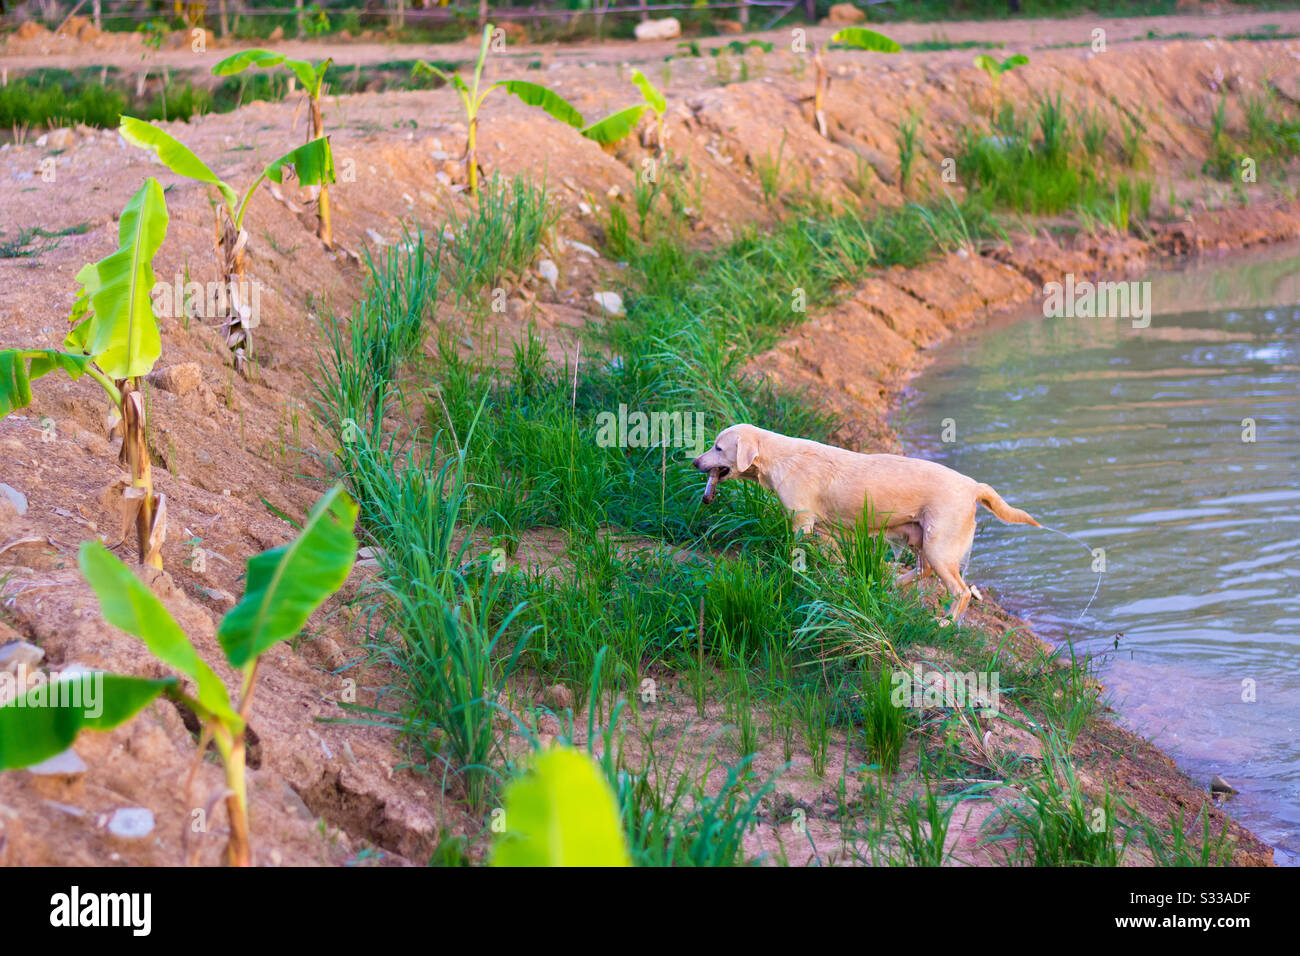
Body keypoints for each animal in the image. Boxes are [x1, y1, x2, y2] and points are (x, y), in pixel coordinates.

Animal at [696, 424, 1040, 621]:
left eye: (717, 447)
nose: (695, 461)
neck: (778, 456)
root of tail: (973, 486)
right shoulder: (826, 530)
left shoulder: (801, 521)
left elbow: (796, 552)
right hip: (924, 541)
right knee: (925, 571)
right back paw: (890, 584)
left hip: (938, 545)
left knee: (961, 591)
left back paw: (945, 622)